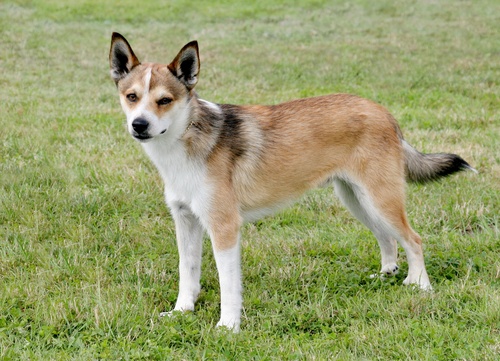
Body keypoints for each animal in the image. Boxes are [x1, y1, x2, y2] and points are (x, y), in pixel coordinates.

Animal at [109, 32, 476, 330]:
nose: (139, 125)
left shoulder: (224, 227)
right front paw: (182, 312)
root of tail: (383, 112)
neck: (187, 139)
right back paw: (387, 274)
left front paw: (228, 326)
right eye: (131, 96)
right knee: (388, 239)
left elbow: (229, 286)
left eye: (164, 100)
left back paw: (420, 285)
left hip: (380, 198)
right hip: (358, 200)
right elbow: (188, 273)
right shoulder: (186, 221)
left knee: (413, 240)